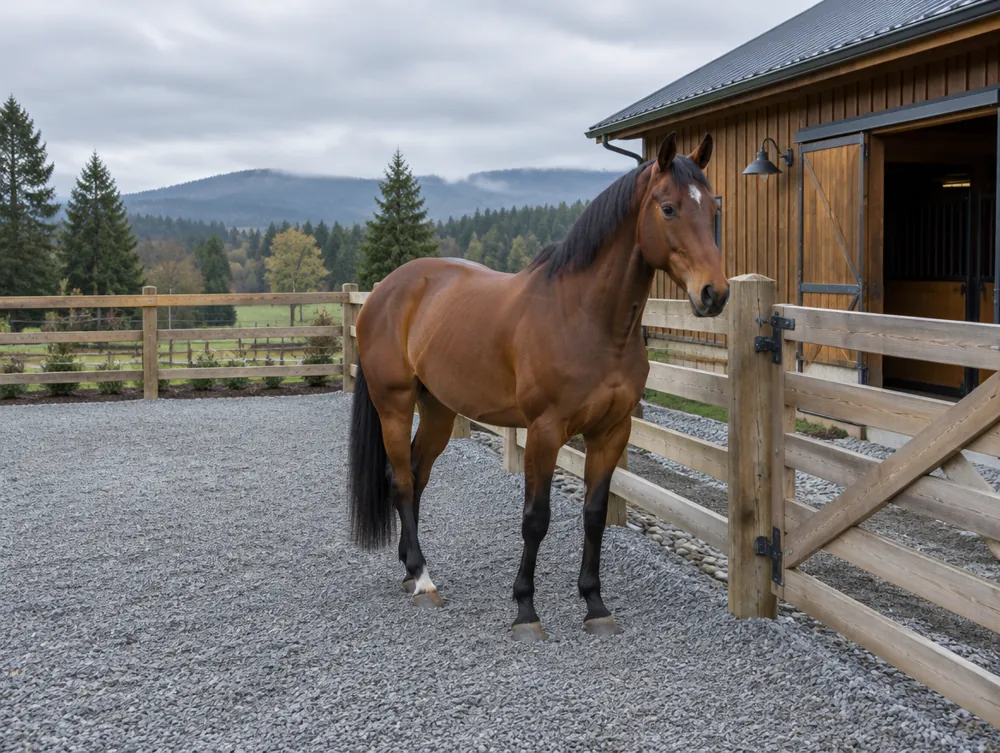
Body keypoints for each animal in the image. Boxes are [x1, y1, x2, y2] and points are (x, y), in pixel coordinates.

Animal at [347, 132, 728, 642]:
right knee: (403, 482)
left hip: (439, 410)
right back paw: (424, 582)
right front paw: (525, 610)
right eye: (668, 208)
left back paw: (410, 568)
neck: (586, 317)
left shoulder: (612, 432)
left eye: (714, 208)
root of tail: (383, 291)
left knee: (415, 475)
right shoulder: (544, 432)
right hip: (394, 404)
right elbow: (536, 518)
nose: (714, 294)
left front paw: (594, 603)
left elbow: (594, 514)